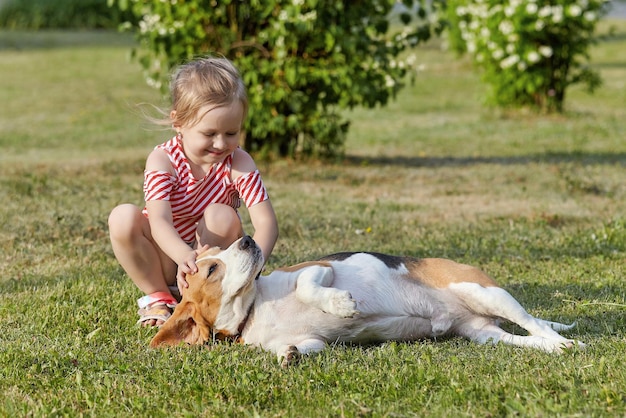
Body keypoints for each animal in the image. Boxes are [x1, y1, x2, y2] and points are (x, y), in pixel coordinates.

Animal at [150, 237, 580, 368]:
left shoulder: (319, 268)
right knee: (527, 337)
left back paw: (566, 342)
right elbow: (300, 347)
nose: (247, 240)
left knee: (534, 322)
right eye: (211, 268)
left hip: (483, 291)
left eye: (223, 250)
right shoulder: (313, 341)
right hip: (484, 334)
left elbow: (309, 287)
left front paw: (341, 304)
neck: (254, 309)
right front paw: (288, 355)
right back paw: (554, 348)